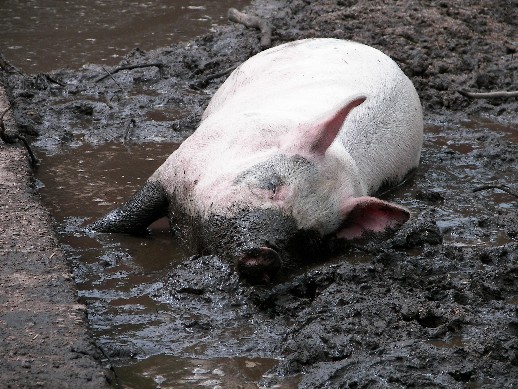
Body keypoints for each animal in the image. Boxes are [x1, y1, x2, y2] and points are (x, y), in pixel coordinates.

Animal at [89, 38, 422, 282]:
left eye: (309, 238)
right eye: (272, 186)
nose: (265, 253)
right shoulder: (181, 162)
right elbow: (137, 209)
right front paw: (91, 232)